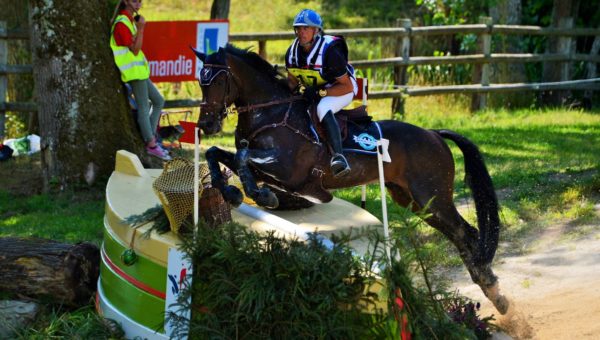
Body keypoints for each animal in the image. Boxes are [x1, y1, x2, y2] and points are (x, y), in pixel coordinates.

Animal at [193, 43, 510, 314]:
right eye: (200, 82)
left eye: (218, 82)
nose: (206, 124)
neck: (271, 114)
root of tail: (434, 134)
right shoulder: (270, 169)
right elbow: (217, 153)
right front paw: (230, 192)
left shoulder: (288, 171)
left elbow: (243, 157)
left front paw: (261, 195)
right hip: (414, 202)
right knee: (460, 236)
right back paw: (493, 292)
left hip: (432, 198)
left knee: (466, 233)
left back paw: (493, 288)